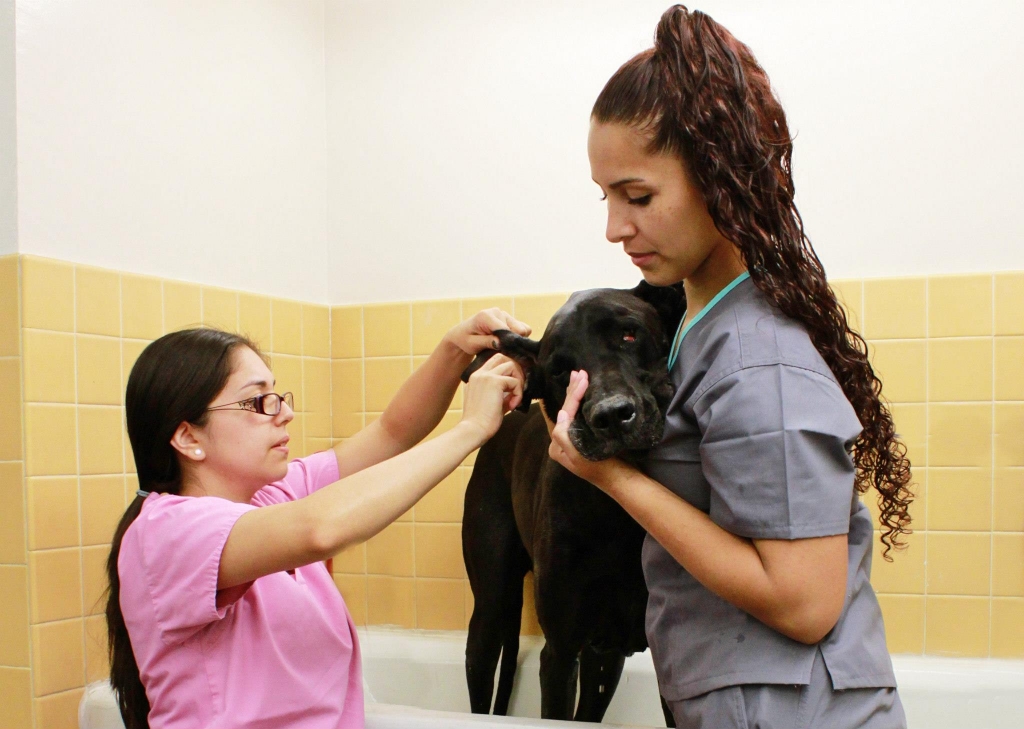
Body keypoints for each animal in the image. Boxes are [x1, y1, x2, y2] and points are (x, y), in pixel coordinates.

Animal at [460, 280, 684, 724]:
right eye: (561, 371)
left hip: (605, 655)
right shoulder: (560, 653)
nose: (611, 415)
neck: (621, 512)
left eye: (629, 334)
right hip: (490, 608)